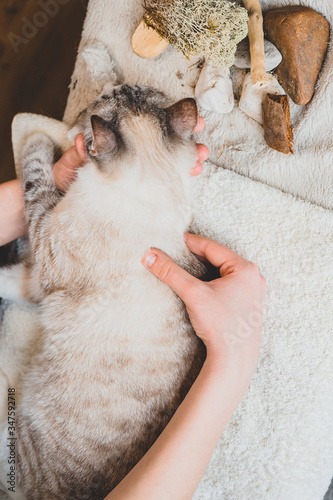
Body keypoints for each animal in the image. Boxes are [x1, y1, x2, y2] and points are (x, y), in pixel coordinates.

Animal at [0, 84, 205, 498]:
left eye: (105, 99)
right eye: (124, 91)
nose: (116, 86)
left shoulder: (44, 248)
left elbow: (35, 171)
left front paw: (37, 138)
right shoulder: (42, 275)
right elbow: (16, 281)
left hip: (12, 438)